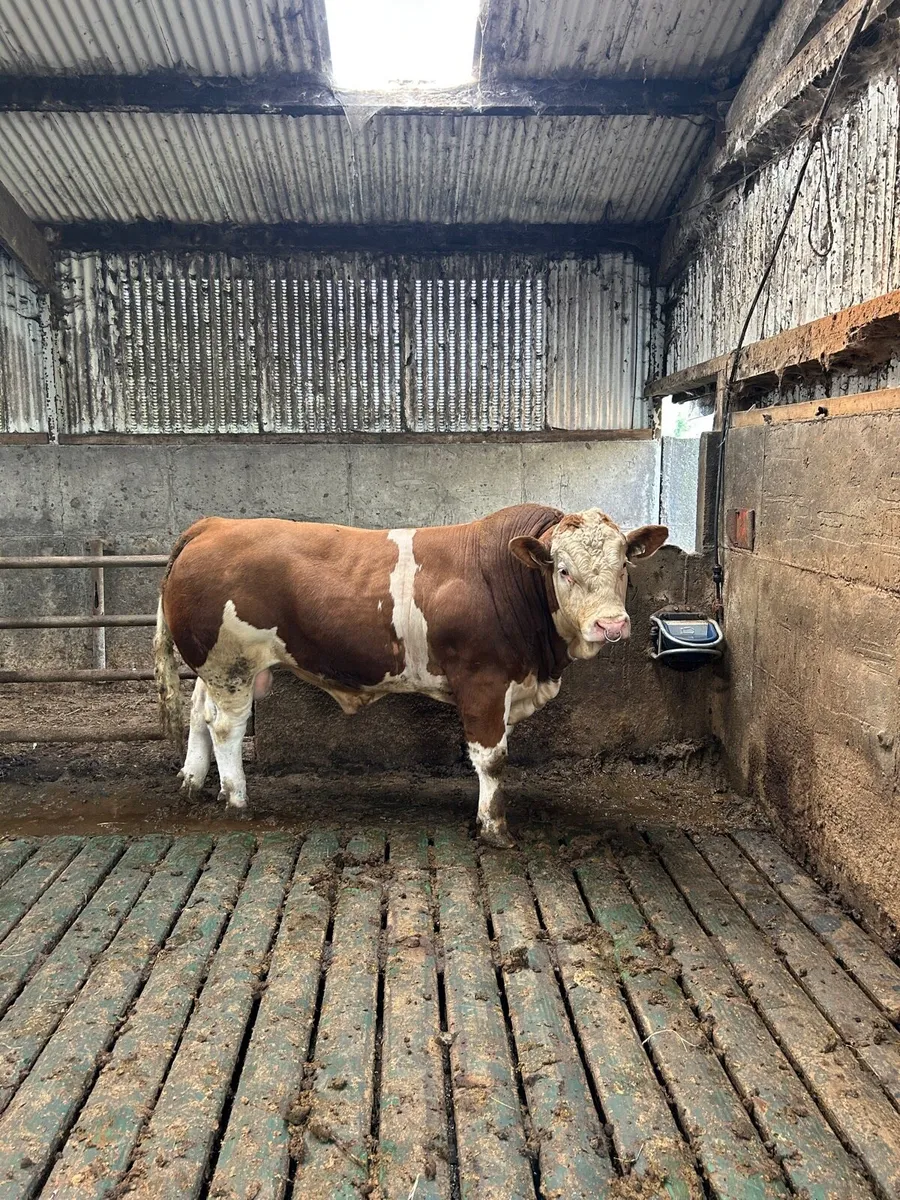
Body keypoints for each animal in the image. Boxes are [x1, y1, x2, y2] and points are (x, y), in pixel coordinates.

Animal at [154, 504, 667, 846]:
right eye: (562, 570)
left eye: (624, 564)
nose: (611, 624)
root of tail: (215, 525)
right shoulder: (482, 681)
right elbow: (492, 759)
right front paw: (494, 828)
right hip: (232, 664)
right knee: (226, 727)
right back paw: (237, 800)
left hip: (214, 668)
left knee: (199, 714)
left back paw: (192, 781)